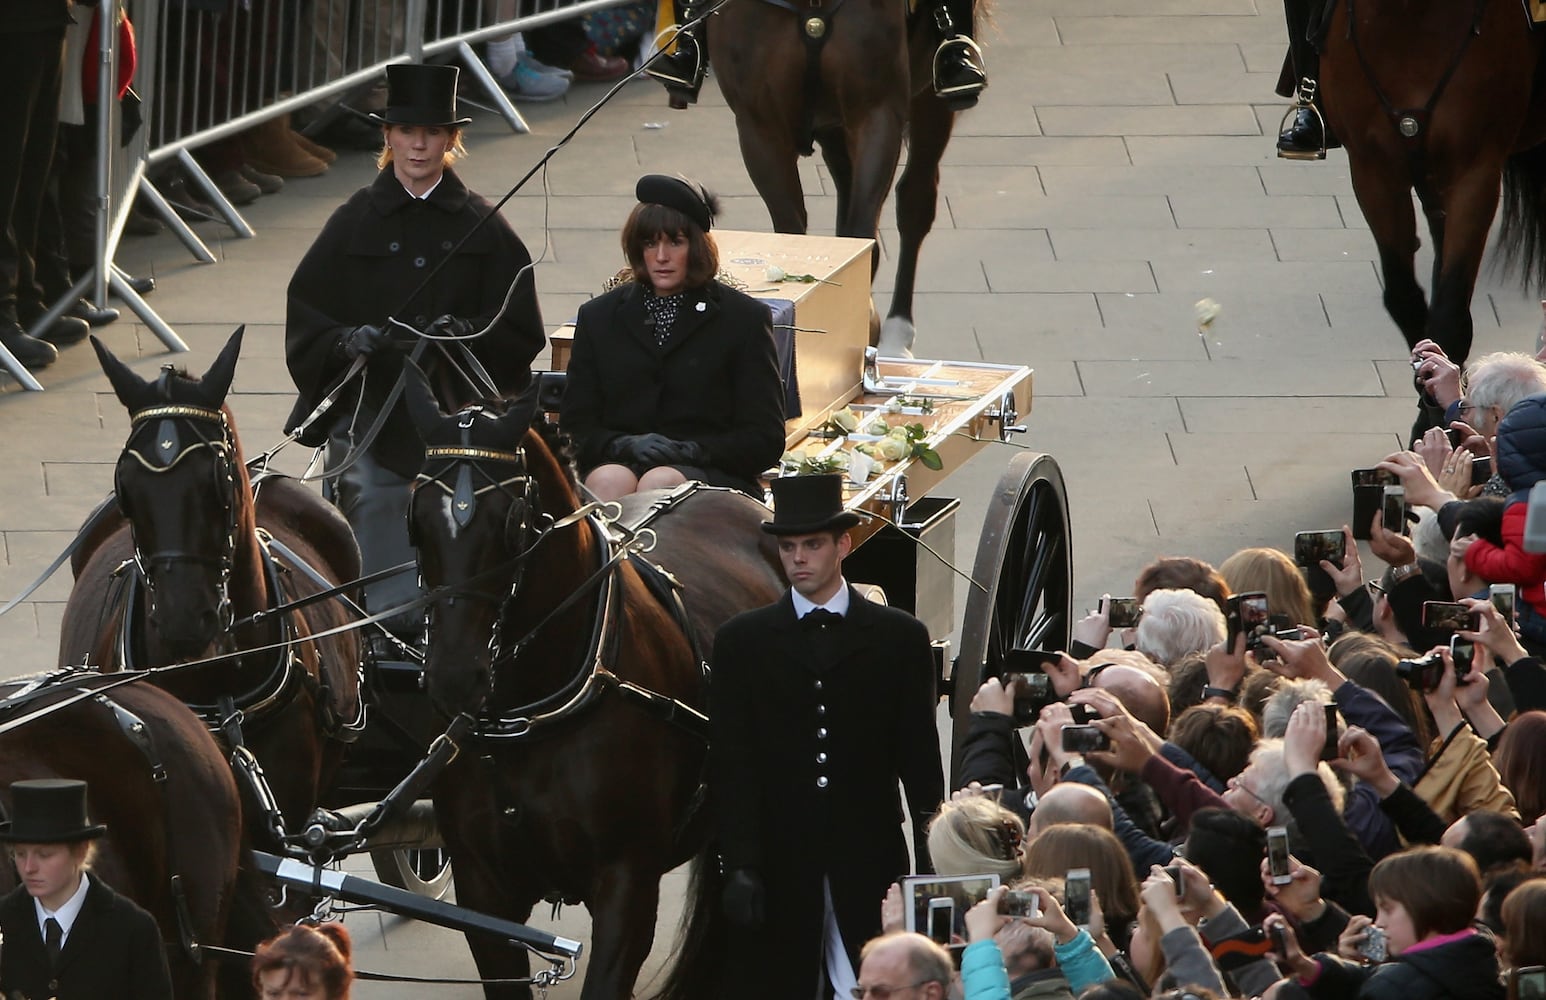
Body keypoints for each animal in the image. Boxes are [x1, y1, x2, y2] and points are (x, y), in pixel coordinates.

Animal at [401, 370, 785, 995]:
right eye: (416, 521)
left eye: (512, 523)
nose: (454, 677)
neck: (528, 715)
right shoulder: (483, 893)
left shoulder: (627, 886)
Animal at [708, 0, 983, 358]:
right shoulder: (760, 129)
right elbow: (792, 232)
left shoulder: (876, 113)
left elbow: (863, 233)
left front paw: (865, 323)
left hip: (926, 101)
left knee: (915, 200)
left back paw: (897, 334)